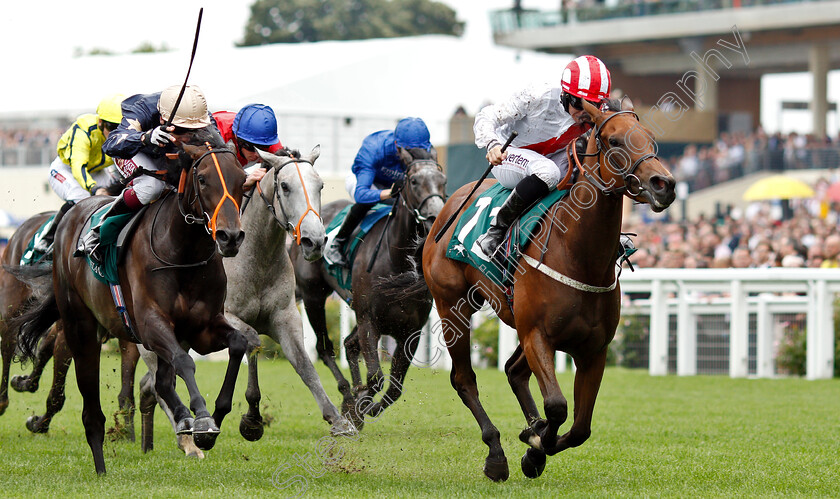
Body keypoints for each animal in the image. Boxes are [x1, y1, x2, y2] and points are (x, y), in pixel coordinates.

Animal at [11, 128, 248, 472]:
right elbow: (184, 361)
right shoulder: (150, 324)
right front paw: (202, 418)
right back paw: (99, 466)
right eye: (203, 179)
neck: (183, 253)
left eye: (243, 180)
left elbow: (239, 344)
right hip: (81, 326)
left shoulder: (202, 329)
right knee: (89, 403)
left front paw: (211, 419)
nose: (230, 237)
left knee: (161, 381)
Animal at [420, 100, 676, 480]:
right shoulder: (537, 335)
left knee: (513, 371)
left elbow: (581, 428)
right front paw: (536, 442)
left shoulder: (593, 349)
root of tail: (448, 205)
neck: (577, 254)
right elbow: (556, 405)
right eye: (614, 141)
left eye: (651, 138)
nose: (664, 184)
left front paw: (535, 444)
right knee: (464, 378)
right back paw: (496, 454)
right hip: (452, 306)